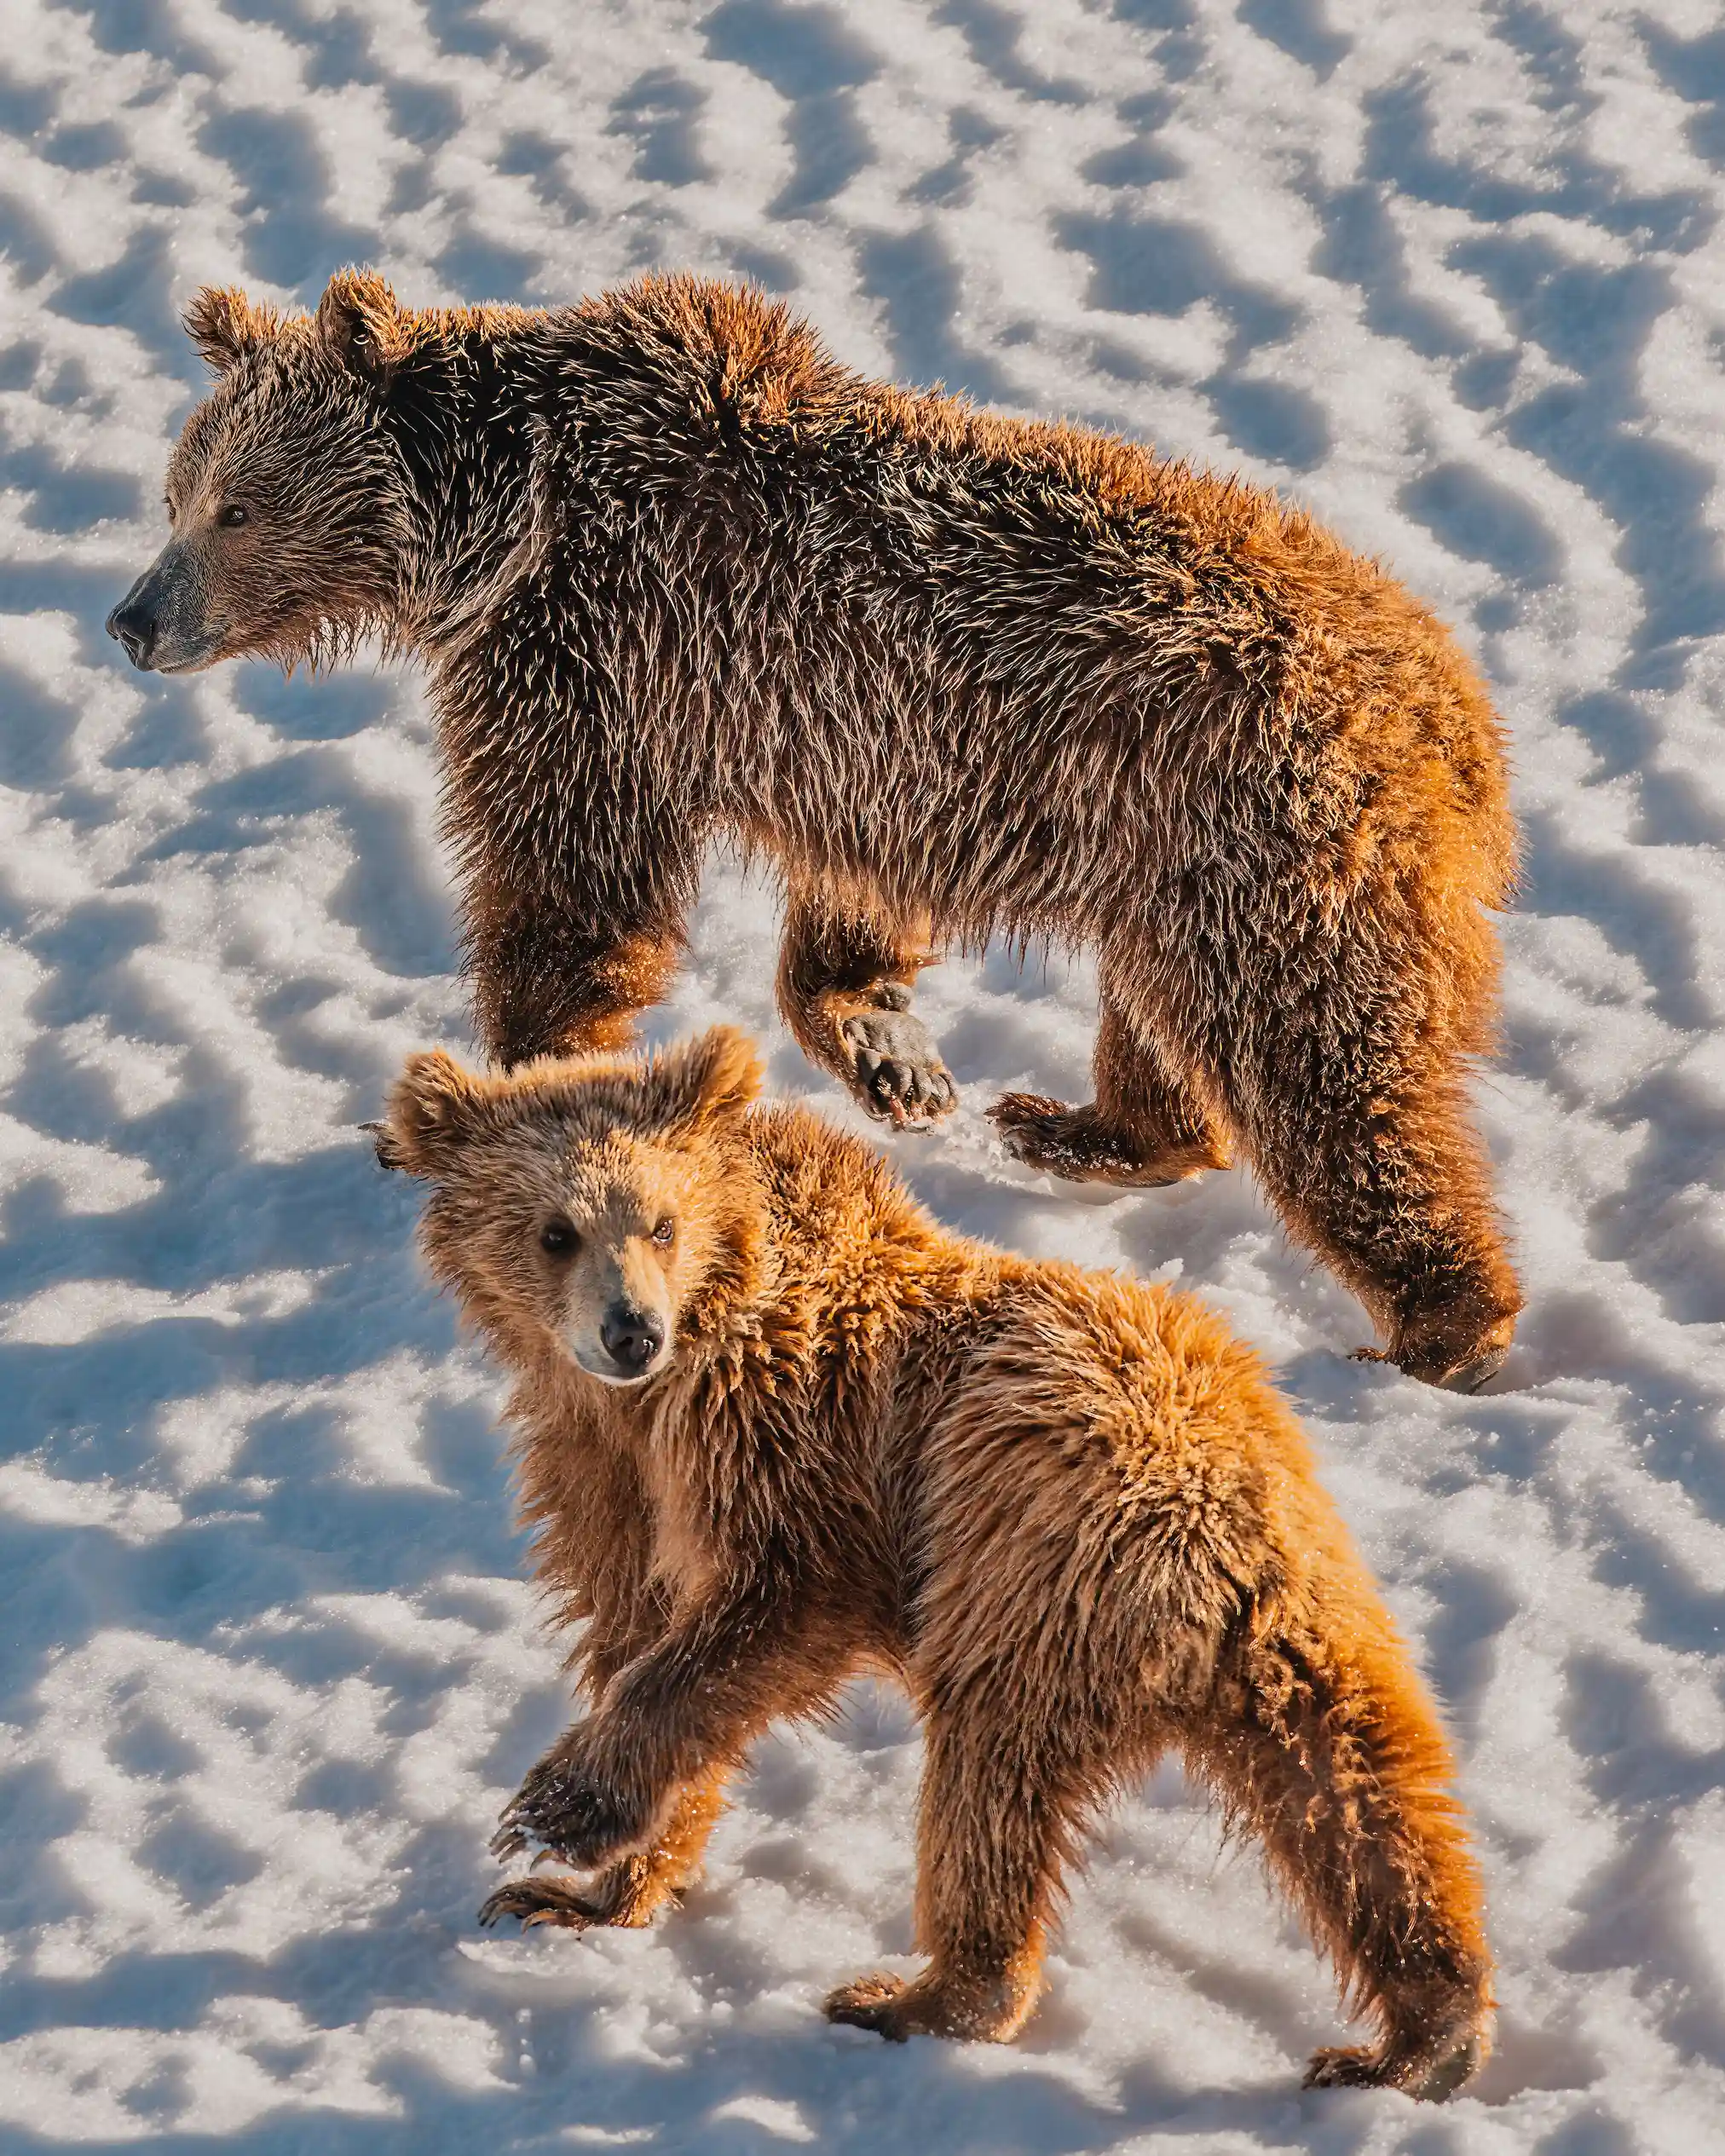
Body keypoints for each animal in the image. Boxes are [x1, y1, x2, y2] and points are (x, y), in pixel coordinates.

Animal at [110, 269, 1522, 1391]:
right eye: (176, 490)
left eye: (235, 505)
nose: (133, 618)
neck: (499, 521)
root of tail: (1459, 723)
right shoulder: (844, 737)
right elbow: (843, 908)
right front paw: (893, 1053)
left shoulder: (593, 656)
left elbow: (569, 886)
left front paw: (495, 1098)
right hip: (1175, 866)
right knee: (1178, 1028)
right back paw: (1076, 1123)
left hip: (1264, 842)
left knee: (1320, 1074)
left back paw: (1441, 1328)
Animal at [376, 1024, 1495, 2097]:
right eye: (553, 1230)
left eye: (658, 1221)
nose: (629, 1329)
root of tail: (1208, 1550)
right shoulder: (608, 1476)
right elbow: (633, 1628)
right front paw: (587, 1890)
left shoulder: (786, 1440)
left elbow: (754, 1620)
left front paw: (557, 1811)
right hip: (1310, 1621)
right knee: (1365, 1798)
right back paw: (1420, 2035)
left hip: (1022, 1567)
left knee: (985, 1788)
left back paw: (914, 1995)